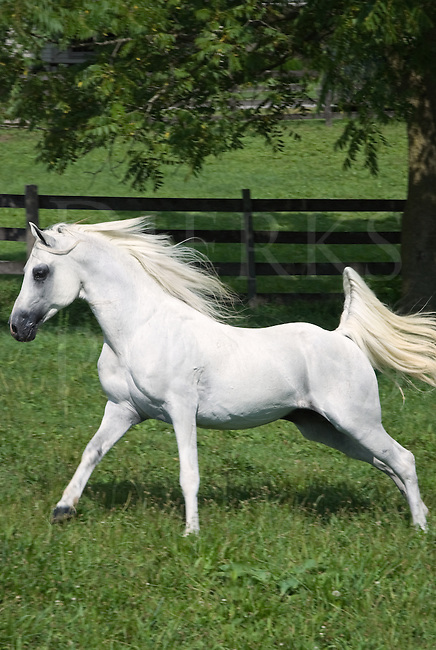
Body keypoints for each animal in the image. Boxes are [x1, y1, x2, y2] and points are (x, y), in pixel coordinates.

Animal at [8, 218, 434, 532]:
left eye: (40, 272)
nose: (17, 327)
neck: (139, 331)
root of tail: (344, 335)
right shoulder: (123, 409)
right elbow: (91, 452)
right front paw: (62, 510)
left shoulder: (181, 410)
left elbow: (189, 473)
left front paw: (191, 532)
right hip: (326, 429)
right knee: (387, 463)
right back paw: (418, 515)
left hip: (355, 421)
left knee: (403, 459)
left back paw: (419, 528)